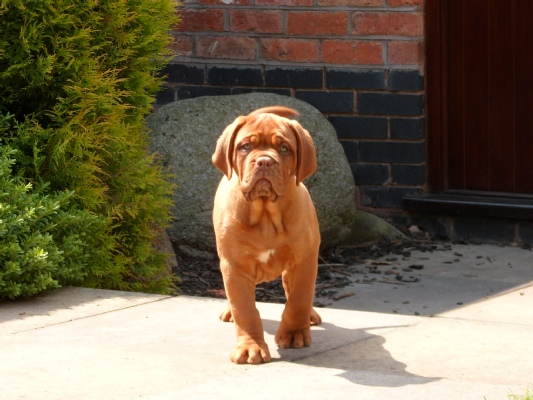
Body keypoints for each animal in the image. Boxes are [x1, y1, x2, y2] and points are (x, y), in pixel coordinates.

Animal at [212, 106, 321, 364]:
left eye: (284, 148)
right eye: (245, 146)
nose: (264, 161)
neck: (265, 214)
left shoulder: (304, 261)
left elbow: (299, 299)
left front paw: (294, 333)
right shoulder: (235, 266)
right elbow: (245, 310)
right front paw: (250, 346)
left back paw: (309, 316)